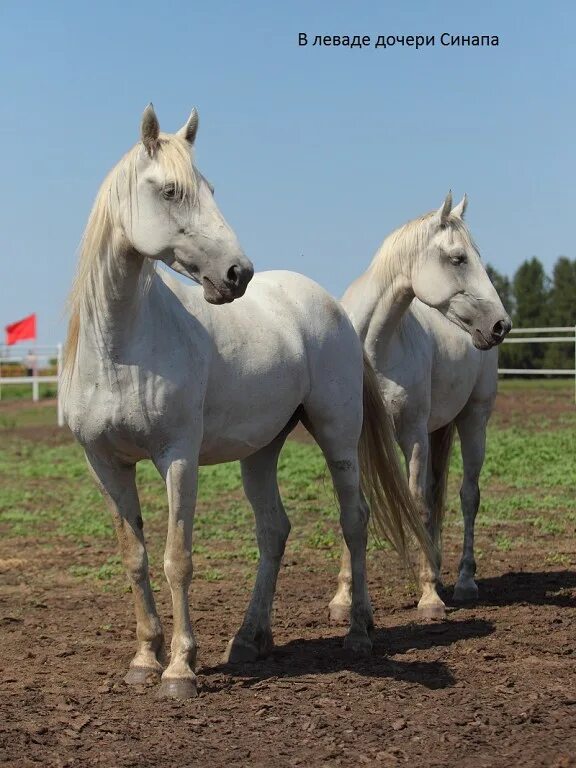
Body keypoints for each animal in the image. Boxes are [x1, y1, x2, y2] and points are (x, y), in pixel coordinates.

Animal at [63, 105, 432, 700]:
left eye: (210, 188)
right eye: (170, 190)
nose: (238, 274)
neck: (124, 347)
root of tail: (331, 307)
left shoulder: (178, 458)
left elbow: (177, 559)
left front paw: (180, 670)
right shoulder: (105, 464)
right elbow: (135, 559)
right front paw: (144, 659)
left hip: (337, 436)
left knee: (354, 518)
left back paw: (357, 631)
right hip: (261, 452)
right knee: (274, 531)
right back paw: (249, 639)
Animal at [328, 194, 512, 624]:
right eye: (459, 258)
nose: (501, 325)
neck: (372, 347)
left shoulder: (412, 434)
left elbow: (419, 506)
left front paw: (429, 597)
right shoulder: (352, 439)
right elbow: (353, 509)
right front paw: (343, 600)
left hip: (473, 421)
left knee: (467, 496)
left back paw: (462, 582)